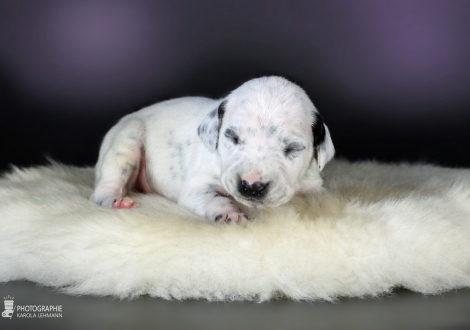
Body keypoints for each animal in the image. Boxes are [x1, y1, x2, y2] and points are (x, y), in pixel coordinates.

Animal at [91, 76, 334, 223]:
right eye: (232, 137)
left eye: (293, 148)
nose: (251, 186)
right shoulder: (198, 186)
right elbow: (215, 198)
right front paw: (230, 213)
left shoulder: (314, 184)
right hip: (127, 140)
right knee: (105, 185)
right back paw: (113, 199)